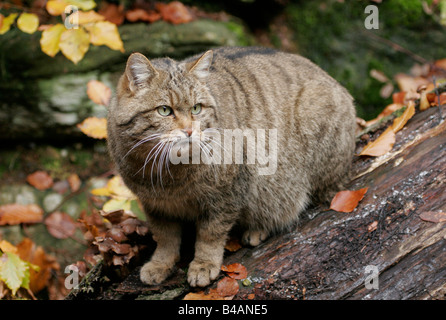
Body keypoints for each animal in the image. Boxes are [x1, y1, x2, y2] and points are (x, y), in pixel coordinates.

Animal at [106, 47, 358, 288]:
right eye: (164, 110)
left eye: (196, 108)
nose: (189, 131)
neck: (169, 175)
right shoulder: (155, 205)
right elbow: (165, 238)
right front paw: (160, 264)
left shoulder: (227, 193)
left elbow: (210, 234)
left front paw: (204, 263)